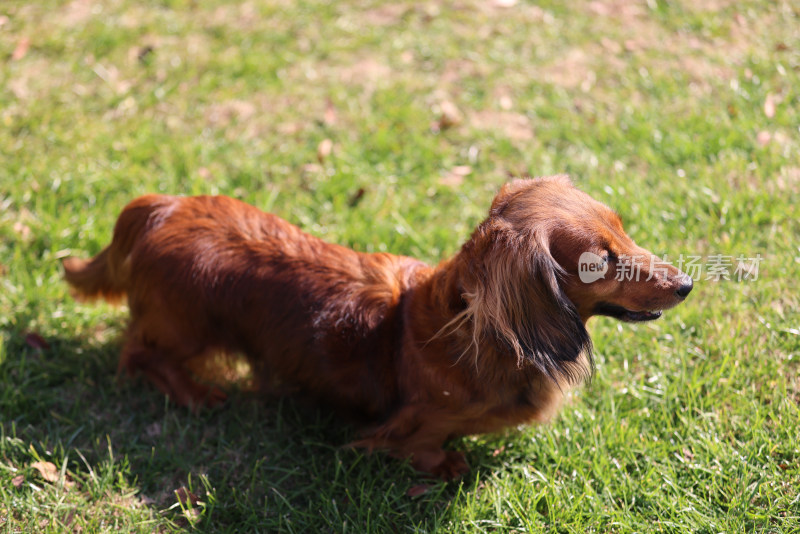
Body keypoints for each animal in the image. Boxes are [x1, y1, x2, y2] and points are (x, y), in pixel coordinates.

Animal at [62, 177, 692, 482]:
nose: (687, 284)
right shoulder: (422, 418)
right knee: (139, 352)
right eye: (599, 261)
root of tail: (159, 209)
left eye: (624, 230)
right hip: (185, 329)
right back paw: (195, 392)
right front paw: (445, 466)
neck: (465, 330)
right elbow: (423, 443)